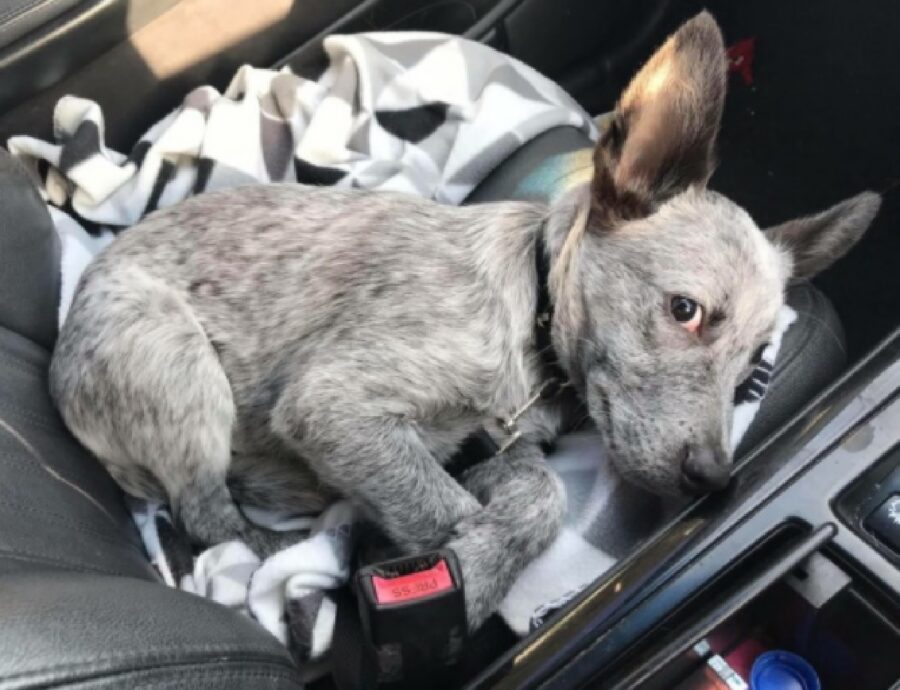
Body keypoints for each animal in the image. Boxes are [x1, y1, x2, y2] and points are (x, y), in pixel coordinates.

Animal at [49, 14, 880, 628]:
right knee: (207, 517)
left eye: (756, 367)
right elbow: (442, 510)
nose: (715, 479)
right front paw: (467, 577)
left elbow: (540, 498)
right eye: (687, 311)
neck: (530, 325)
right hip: (178, 365)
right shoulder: (334, 406)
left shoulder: (496, 448)